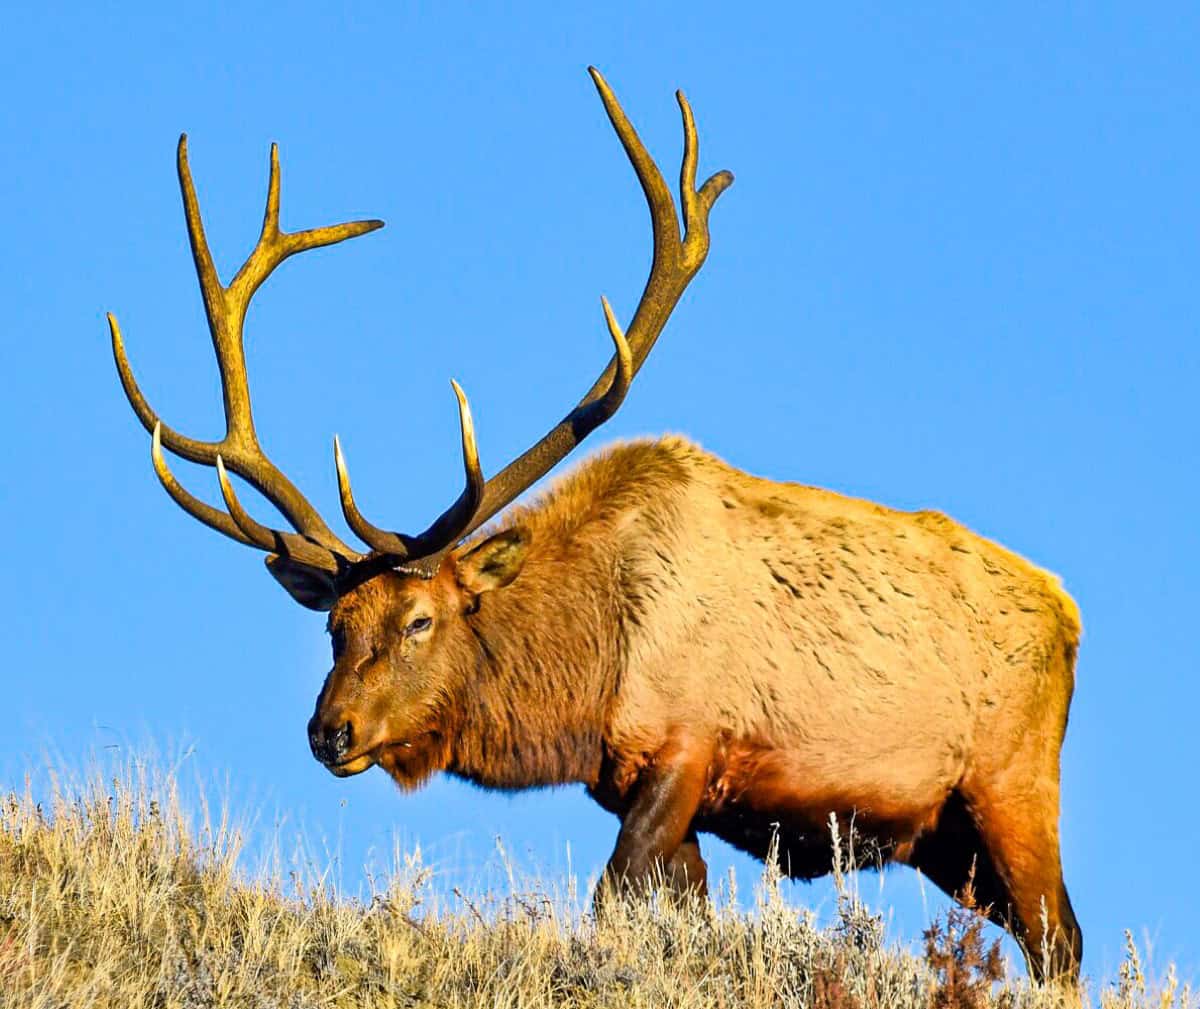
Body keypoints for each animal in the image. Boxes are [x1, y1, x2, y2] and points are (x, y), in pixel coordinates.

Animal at [110, 65, 1089, 974]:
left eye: (420, 619)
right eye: (333, 627)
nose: (330, 729)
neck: (592, 672)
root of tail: (1068, 614)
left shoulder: (688, 746)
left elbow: (609, 900)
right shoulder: (637, 787)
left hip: (1012, 782)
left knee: (1062, 937)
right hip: (946, 839)